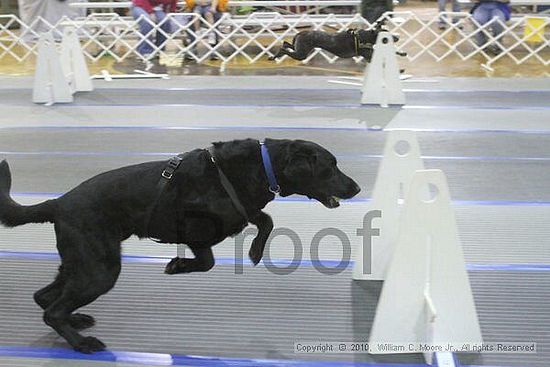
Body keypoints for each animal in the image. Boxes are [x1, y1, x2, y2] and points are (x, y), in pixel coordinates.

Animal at [0, 138, 362, 354]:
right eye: (330, 166)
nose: (357, 188)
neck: (260, 167)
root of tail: (58, 203)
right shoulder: (198, 230)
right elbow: (209, 259)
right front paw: (178, 265)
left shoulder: (242, 211)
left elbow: (265, 220)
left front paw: (255, 252)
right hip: (100, 269)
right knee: (52, 309)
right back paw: (82, 343)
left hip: (82, 263)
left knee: (45, 298)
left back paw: (76, 321)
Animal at [272, 27, 406, 61]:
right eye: (387, 36)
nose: (397, 37)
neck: (366, 37)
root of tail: (301, 32)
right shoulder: (368, 56)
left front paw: (402, 53)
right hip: (301, 54)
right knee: (284, 49)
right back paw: (274, 56)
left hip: (299, 49)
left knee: (285, 44)